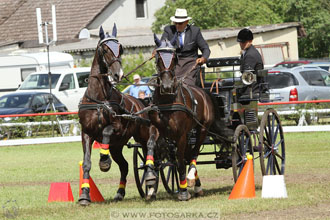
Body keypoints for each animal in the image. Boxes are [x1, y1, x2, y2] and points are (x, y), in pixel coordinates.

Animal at [77, 25, 150, 206]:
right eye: (105, 49)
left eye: (120, 48)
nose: (118, 75)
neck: (99, 99)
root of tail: (141, 102)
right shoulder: (86, 133)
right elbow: (86, 163)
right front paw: (84, 196)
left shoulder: (117, 128)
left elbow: (106, 131)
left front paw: (104, 161)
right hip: (117, 146)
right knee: (124, 166)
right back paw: (120, 193)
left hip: (142, 138)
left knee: (150, 158)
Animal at [146, 34, 215, 201]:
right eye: (158, 58)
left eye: (174, 58)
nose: (166, 86)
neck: (167, 100)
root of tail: (204, 92)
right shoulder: (156, 128)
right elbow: (150, 144)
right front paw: (150, 176)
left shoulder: (181, 135)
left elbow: (180, 160)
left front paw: (183, 191)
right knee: (188, 154)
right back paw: (197, 185)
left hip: (202, 129)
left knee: (193, 153)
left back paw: (190, 179)